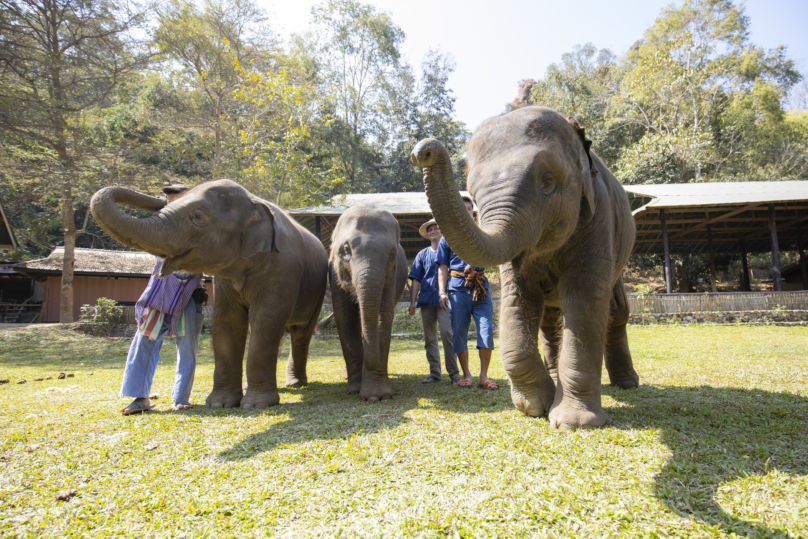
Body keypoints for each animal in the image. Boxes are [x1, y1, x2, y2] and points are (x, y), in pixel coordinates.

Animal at [89, 180, 328, 410]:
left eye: (198, 216)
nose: (168, 188)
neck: (254, 200)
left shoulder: (282, 269)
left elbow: (265, 322)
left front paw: (256, 404)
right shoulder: (224, 281)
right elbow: (226, 323)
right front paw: (220, 404)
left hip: (316, 293)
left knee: (300, 333)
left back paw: (296, 384)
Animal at [328, 205, 408, 402]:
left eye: (392, 254)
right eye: (346, 249)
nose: (370, 363)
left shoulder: (392, 275)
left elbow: (383, 316)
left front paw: (377, 396)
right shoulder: (334, 273)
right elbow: (345, 317)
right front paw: (355, 389)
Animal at [410, 107, 636, 432]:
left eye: (547, 182)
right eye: (474, 197)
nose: (424, 152)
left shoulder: (599, 216)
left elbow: (585, 300)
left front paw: (572, 423)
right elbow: (518, 298)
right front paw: (535, 407)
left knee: (616, 311)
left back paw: (627, 385)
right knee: (549, 321)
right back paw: (555, 381)